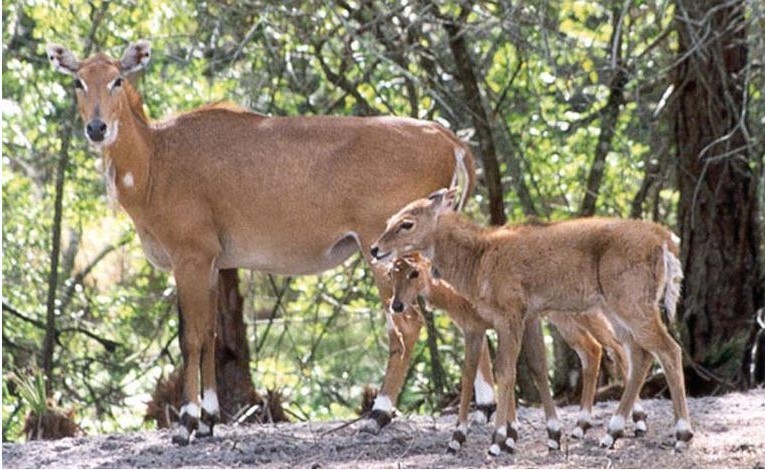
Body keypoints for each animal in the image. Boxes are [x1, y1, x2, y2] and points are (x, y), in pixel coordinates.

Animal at [46, 39, 496, 444]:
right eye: (78, 81)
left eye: (118, 79)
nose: (97, 128)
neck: (156, 159)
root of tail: (447, 138)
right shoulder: (213, 264)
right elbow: (211, 336)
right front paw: (209, 420)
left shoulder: (190, 256)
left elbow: (191, 338)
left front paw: (188, 423)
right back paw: (486, 407)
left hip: (385, 249)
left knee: (407, 322)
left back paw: (378, 415)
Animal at [370, 189, 692, 454]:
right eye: (389, 220)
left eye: (407, 223)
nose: (374, 249)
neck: (479, 260)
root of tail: (665, 239)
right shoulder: (530, 316)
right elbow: (534, 367)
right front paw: (548, 434)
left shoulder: (507, 315)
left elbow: (504, 372)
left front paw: (498, 440)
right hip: (617, 312)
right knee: (638, 355)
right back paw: (611, 433)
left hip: (630, 306)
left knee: (668, 350)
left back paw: (681, 434)